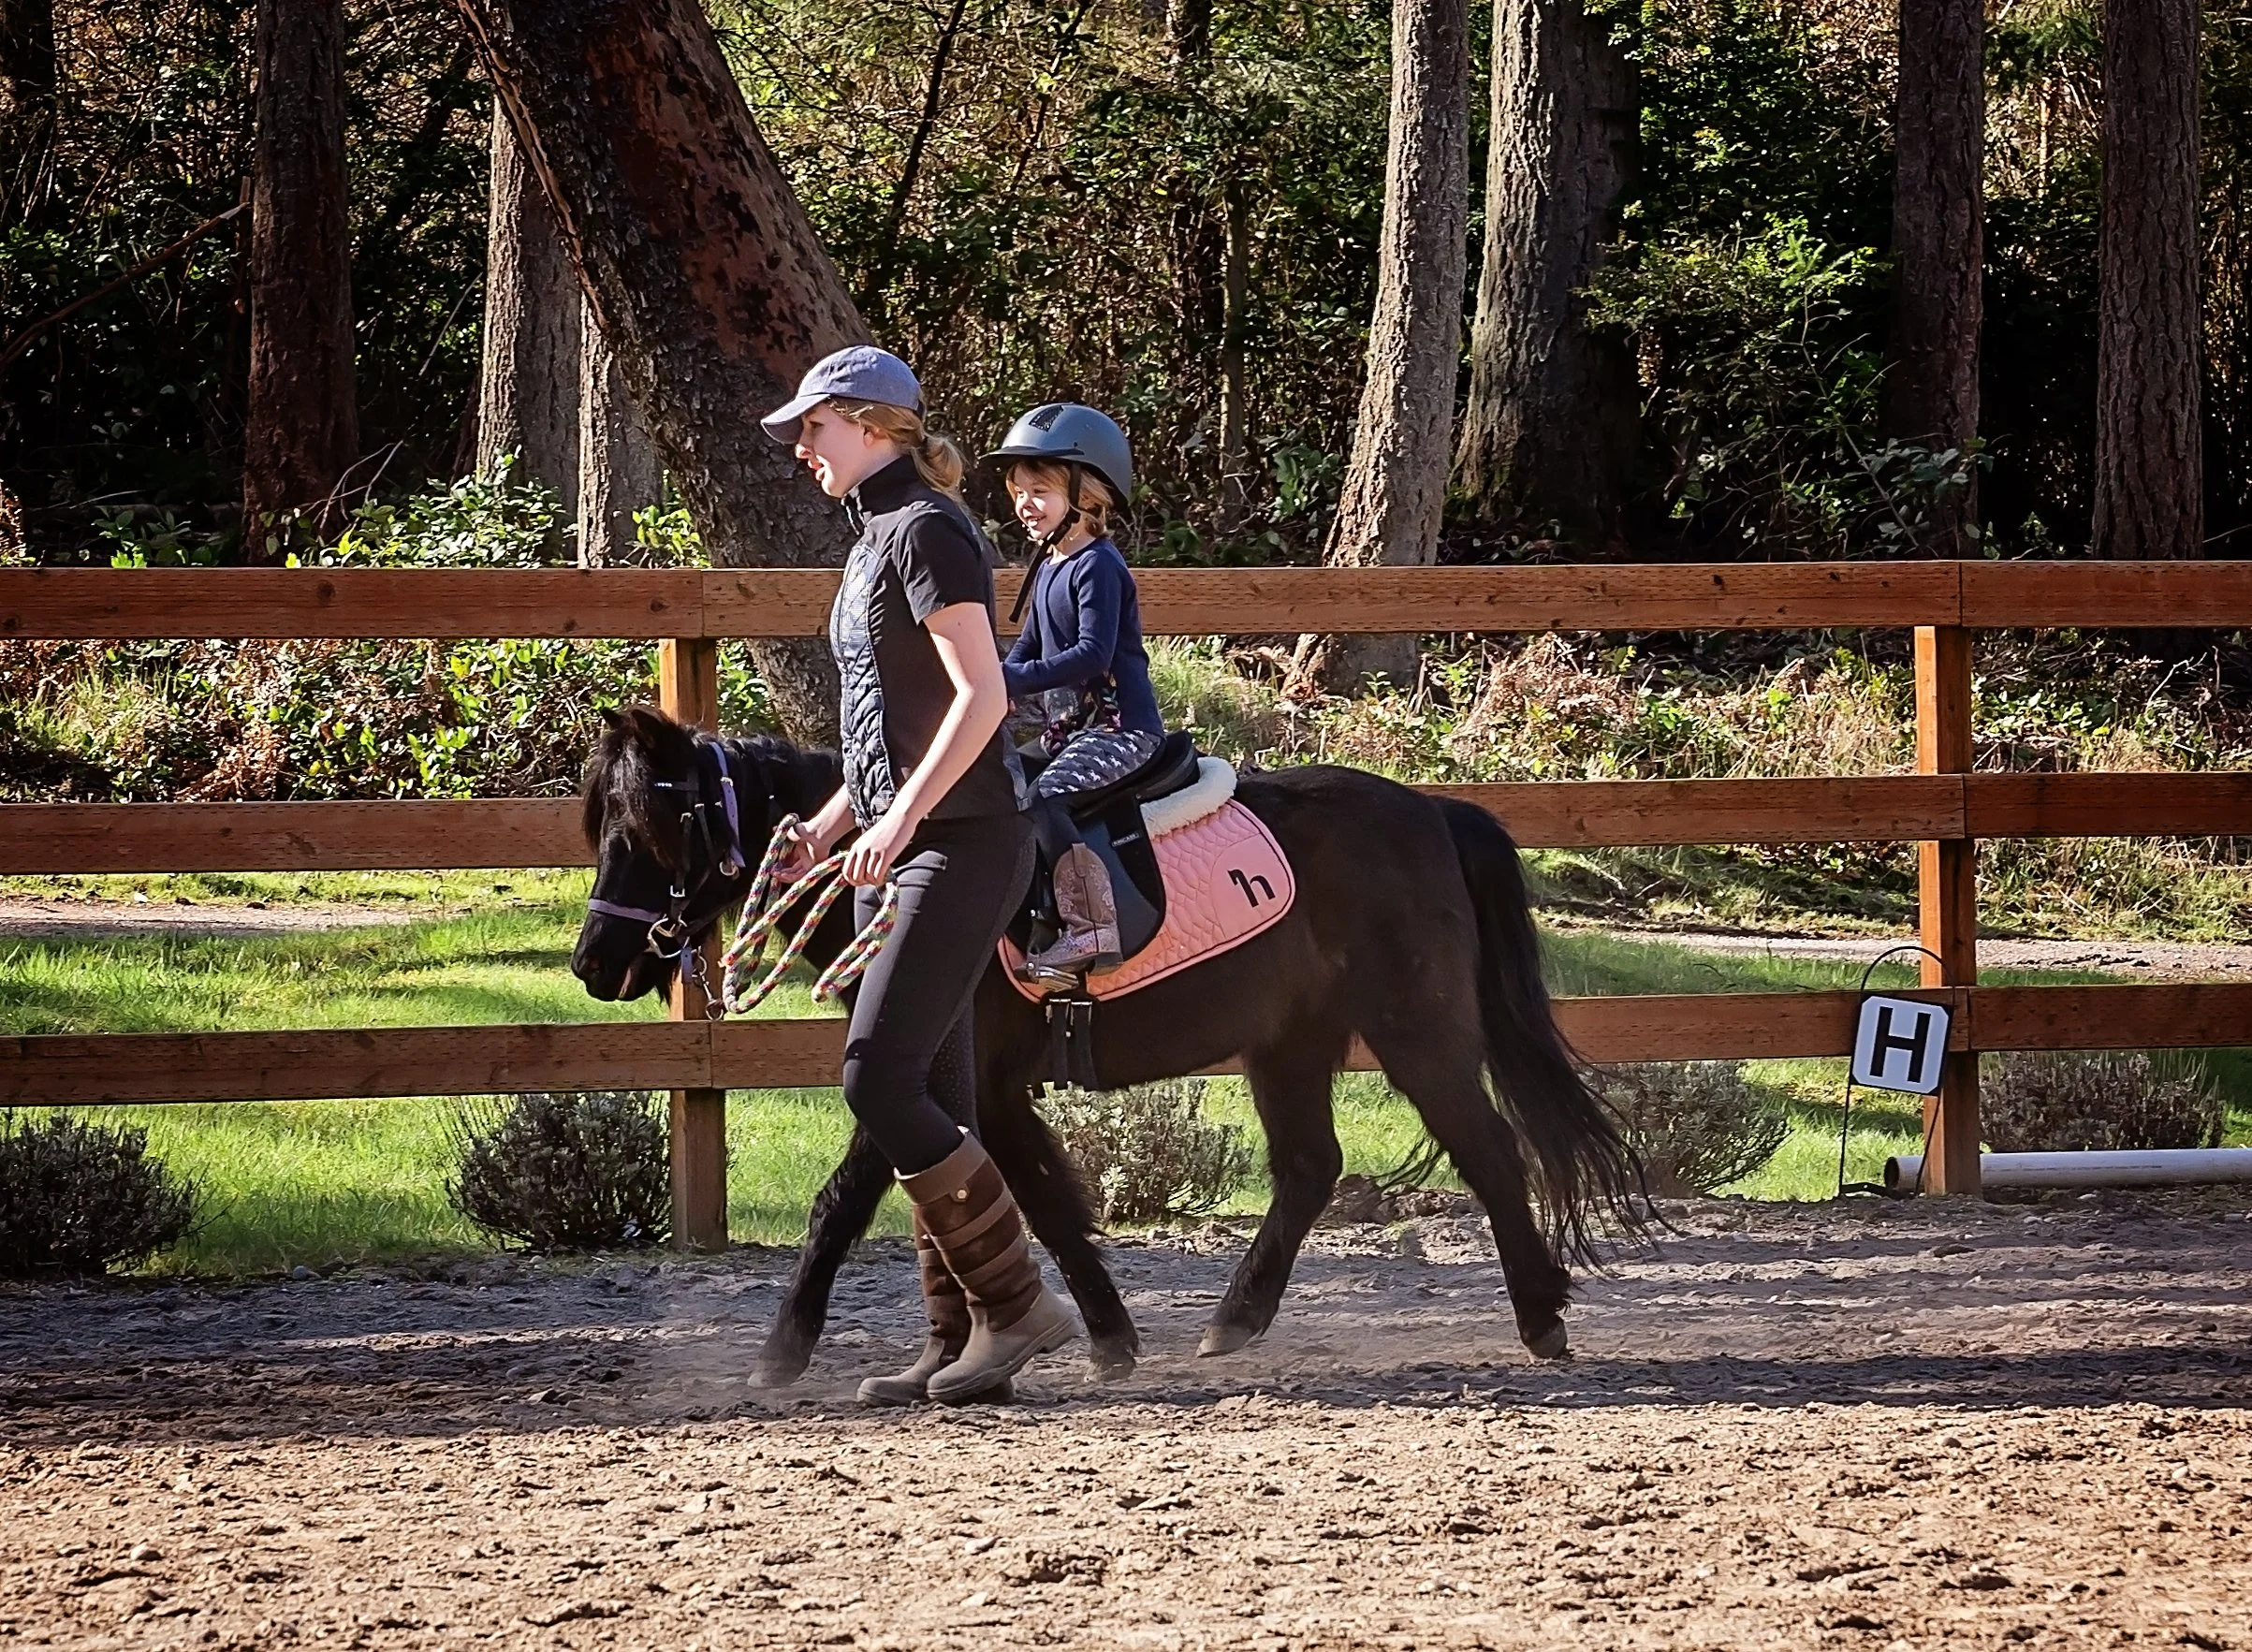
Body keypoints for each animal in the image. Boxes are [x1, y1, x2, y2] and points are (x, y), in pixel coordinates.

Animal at [571, 704, 1642, 1385]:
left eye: (650, 830)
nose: (593, 962)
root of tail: (1434, 810)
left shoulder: (920, 1072)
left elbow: (846, 1200)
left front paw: (781, 1351)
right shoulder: (985, 1091)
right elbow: (1040, 1200)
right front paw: (1106, 1337)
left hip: (1417, 1033)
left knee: (1489, 1151)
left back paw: (1541, 1313)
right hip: (1289, 1042)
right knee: (1311, 1166)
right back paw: (1234, 1319)